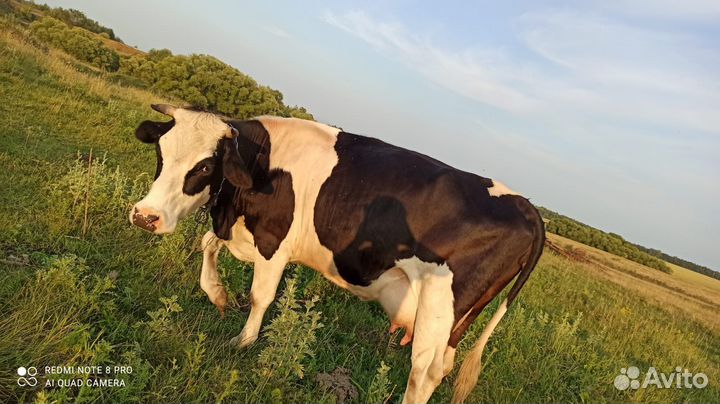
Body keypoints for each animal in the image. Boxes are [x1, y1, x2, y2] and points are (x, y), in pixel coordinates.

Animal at [130, 104, 545, 404]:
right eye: (161, 153)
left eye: (205, 165)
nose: (146, 216)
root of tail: (525, 204)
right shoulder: (240, 231)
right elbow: (207, 244)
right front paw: (217, 294)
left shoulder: (273, 241)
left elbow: (260, 296)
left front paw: (242, 341)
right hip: (457, 322)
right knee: (442, 366)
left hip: (439, 305)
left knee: (423, 372)